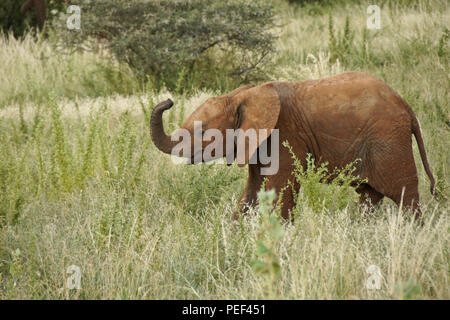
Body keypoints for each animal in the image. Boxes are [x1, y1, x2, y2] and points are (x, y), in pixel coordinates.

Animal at [151, 72, 436, 220]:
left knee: (404, 195)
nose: (169, 100)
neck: (242, 95)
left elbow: (280, 189)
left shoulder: (285, 136)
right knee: (369, 195)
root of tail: (407, 107)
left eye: (202, 131)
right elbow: (253, 191)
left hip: (388, 139)